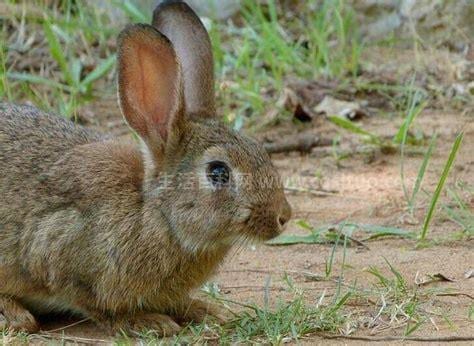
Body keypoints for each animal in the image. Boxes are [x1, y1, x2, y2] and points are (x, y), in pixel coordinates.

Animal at [0, 0, 292, 336]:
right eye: (218, 172)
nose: (284, 216)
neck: (157, 213)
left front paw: (207, 310)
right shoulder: (57, 247)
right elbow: (97, 306)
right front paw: (148, 321)